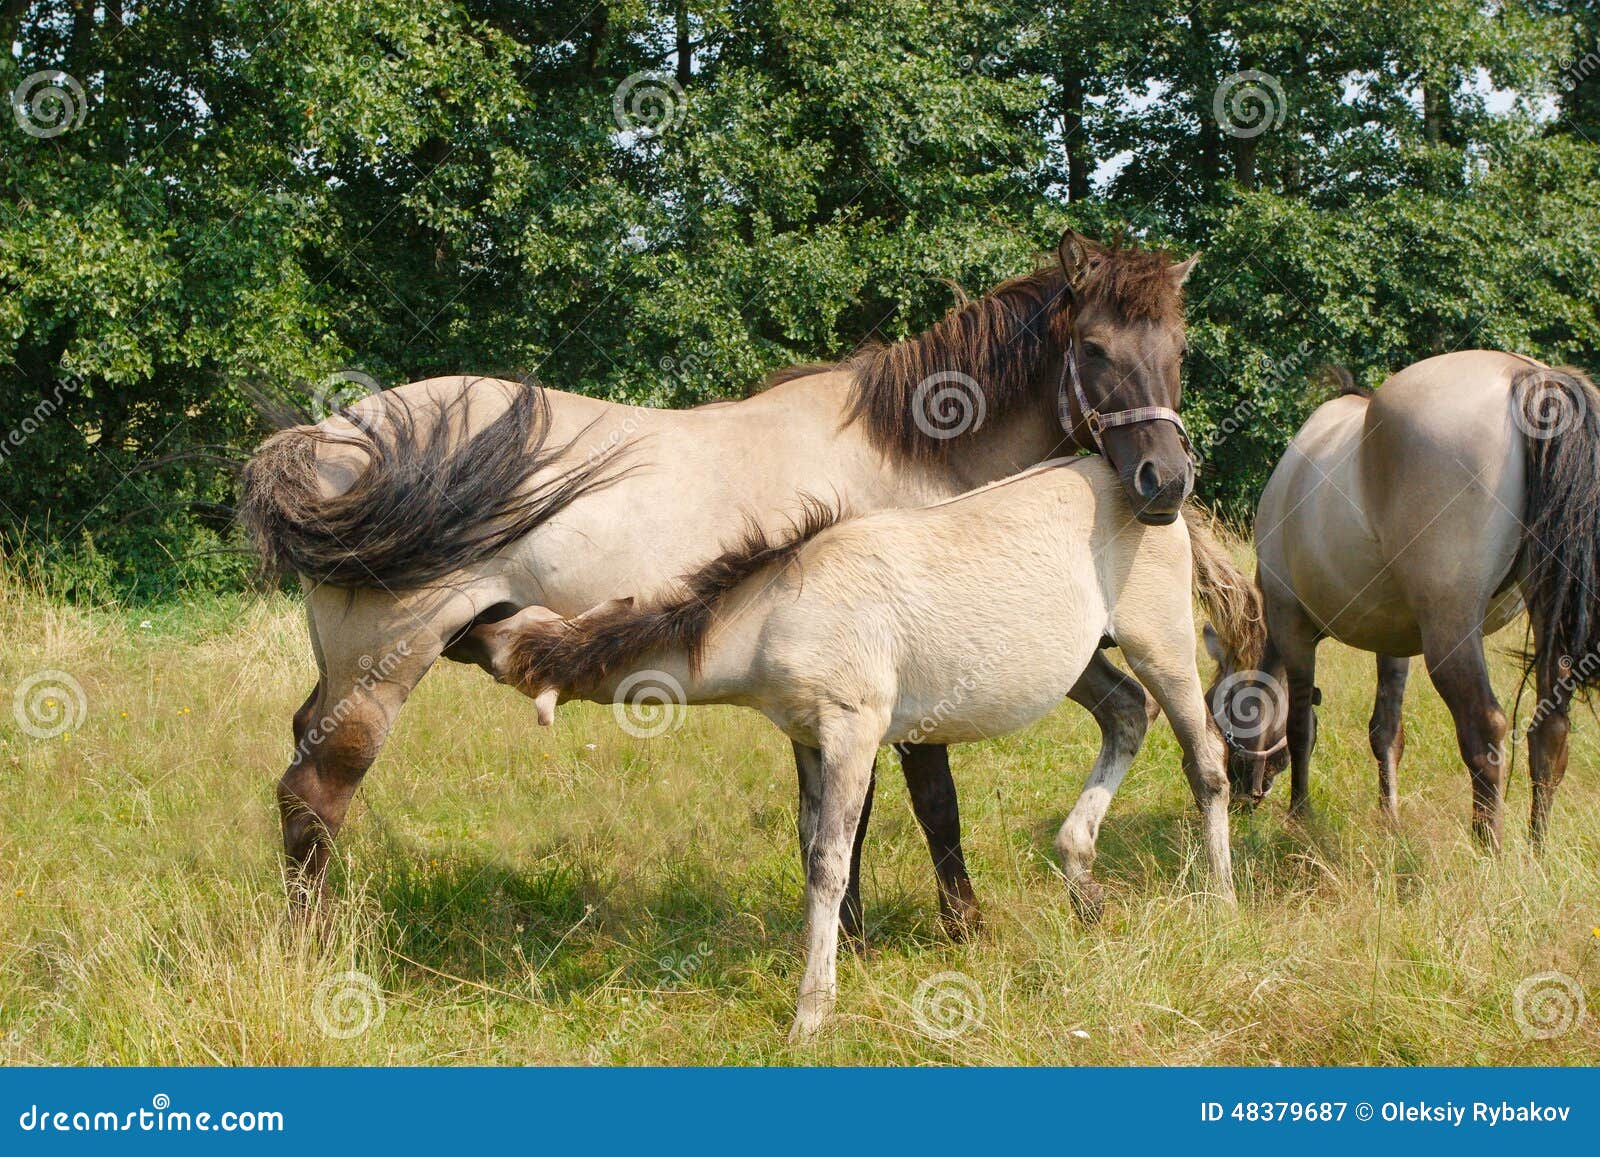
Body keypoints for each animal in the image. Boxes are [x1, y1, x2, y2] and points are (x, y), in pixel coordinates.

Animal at [238, 230, 1201, 933]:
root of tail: (331, 436)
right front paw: (960, 927)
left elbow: (837, 816)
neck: (903, 457)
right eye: (1094, 346)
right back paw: (315, 944)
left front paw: (850, 930)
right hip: (384, 664)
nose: (1166, 480)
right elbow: (931, 804)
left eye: (1178, 347)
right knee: (317, 792)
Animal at [463, 458, 1251, 1040]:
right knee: (1125, 714)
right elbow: (813, 840)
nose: (472, 625)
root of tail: (1165, 501)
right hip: (1084, 661)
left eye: (511, 644)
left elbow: (829, 861)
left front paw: (811, 1011)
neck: (779, 608)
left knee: (1204, 760)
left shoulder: (854, 729)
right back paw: (1082, 877)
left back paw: (1220, 900)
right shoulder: (809, 739)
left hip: (1162, 643)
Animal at [1205, 351, 1600, 848]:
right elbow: (1386, 731)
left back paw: (1488, 849)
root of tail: (1529, 376)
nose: (1239, 796)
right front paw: (1388, 815)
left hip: (1450, 629)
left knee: (1485, 730)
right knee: (1550, 730)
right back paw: (1535, 849)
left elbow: (1299, 726)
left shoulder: (1292, 626)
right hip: (1547, 612)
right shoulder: (1393, 642)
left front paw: (1299, 816)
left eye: (1217, 706)